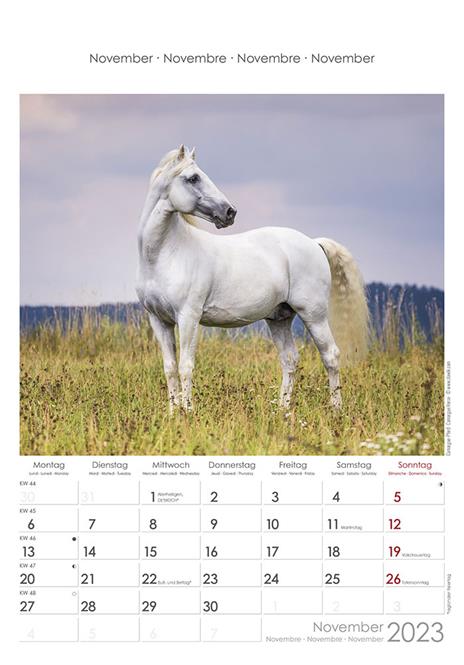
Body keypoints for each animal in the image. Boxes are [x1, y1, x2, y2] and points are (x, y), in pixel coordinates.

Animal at [136, 145, 369, 413]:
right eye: (193, 178)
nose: (229, 212)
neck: (165, 254)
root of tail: (314, 243)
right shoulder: (159, 320)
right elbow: (170, 369)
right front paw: (174, 413)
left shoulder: (188, 318)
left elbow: (186, 366)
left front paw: (189, 412)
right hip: (280, 318)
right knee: (290, 360)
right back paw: (282, 410)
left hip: (314, 315)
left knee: (331, 355)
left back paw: (336, 408)